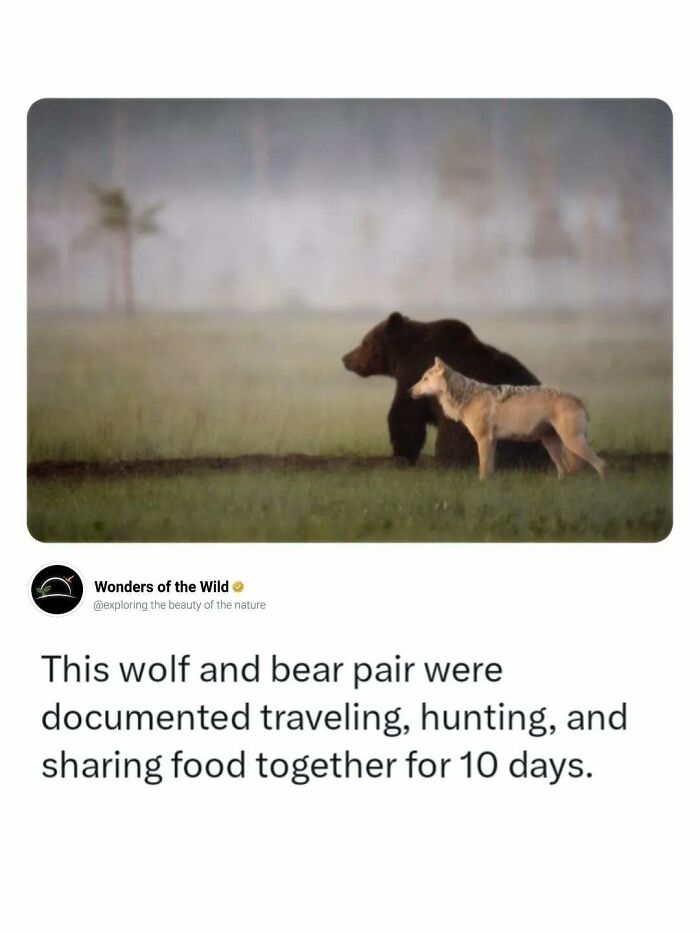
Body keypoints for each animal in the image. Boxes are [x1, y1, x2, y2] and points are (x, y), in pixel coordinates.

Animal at [342, 312, 549, 468]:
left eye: (364, 342)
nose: (346, 358)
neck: (402, 355)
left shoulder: (414, 372)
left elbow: (405, 415)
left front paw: (401, 455)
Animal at [409, 357, 606, 481]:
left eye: (425, 379)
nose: (409, 391)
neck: (467, 396)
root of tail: (578, 400)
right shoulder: (492, 441)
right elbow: (490, 469)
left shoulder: (483, 440)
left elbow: (482, 468)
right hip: (552, 445)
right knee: (564, 470)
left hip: (572, 442)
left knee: (601, 464)